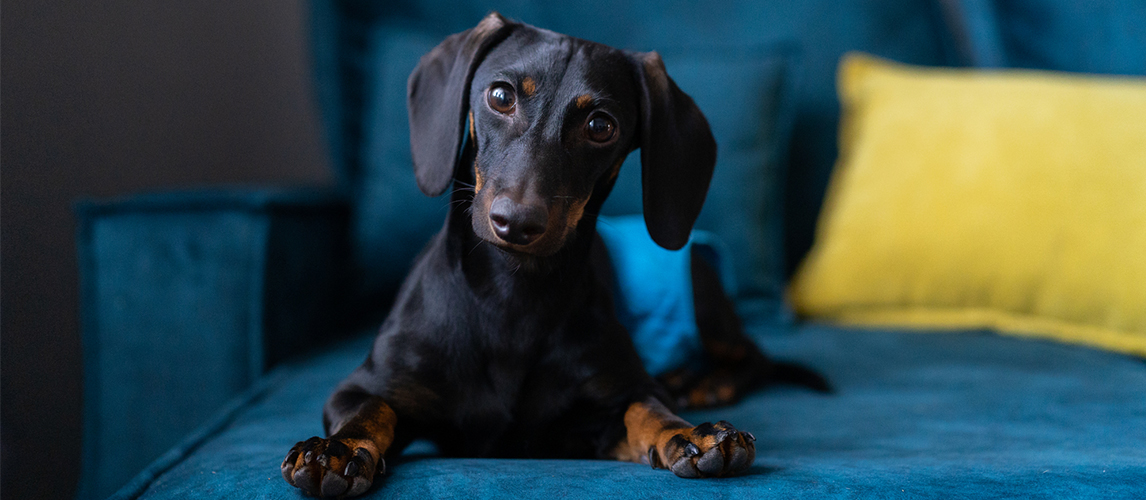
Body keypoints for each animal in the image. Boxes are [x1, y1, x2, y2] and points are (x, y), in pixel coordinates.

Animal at [281, 13, 829, 497]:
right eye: (500, 95)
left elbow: (646, 408)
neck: (512, 297)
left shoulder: (602, 414)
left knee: (753, 353)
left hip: (703, 298)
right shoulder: (362, 387)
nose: (517, 222)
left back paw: (708, 384)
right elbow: (369, 411)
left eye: (601, 125)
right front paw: (336, 450)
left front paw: (688, 433)